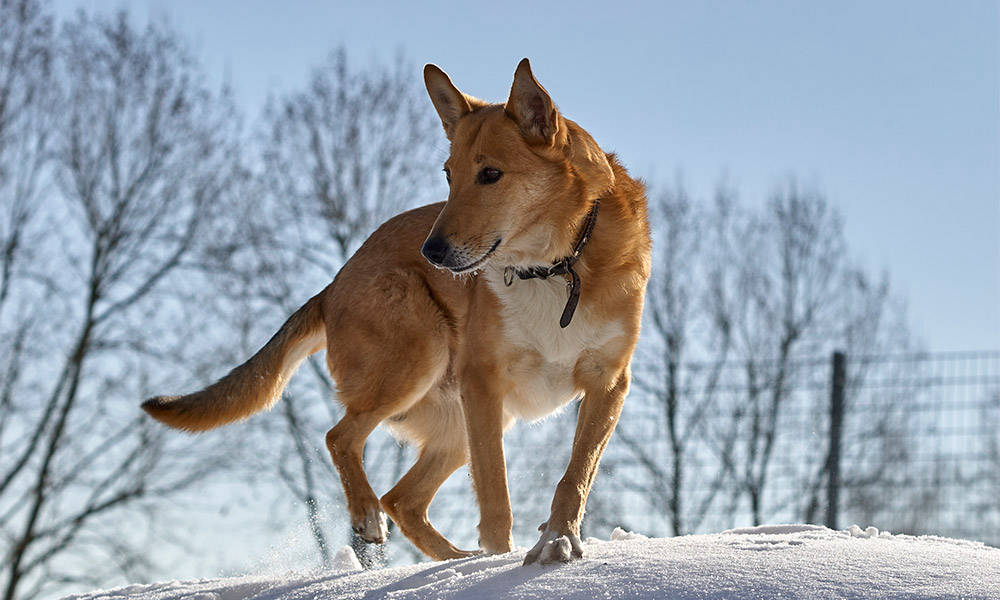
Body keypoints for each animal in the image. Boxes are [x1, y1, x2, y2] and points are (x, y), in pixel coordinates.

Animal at [145, 58, 652, 564]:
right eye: (448, 175)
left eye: (490, 174)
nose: (432, 252)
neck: (553, 267)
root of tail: (334, 285)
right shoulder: (482, 381)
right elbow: (495, 489)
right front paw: (500, 558)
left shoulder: (607, 382)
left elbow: (576, 475)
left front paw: (557, 541)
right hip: (420, 352)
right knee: (342, 439)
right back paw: (375, 520)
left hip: (455, 421)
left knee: (403, 499)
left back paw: (456, 558)